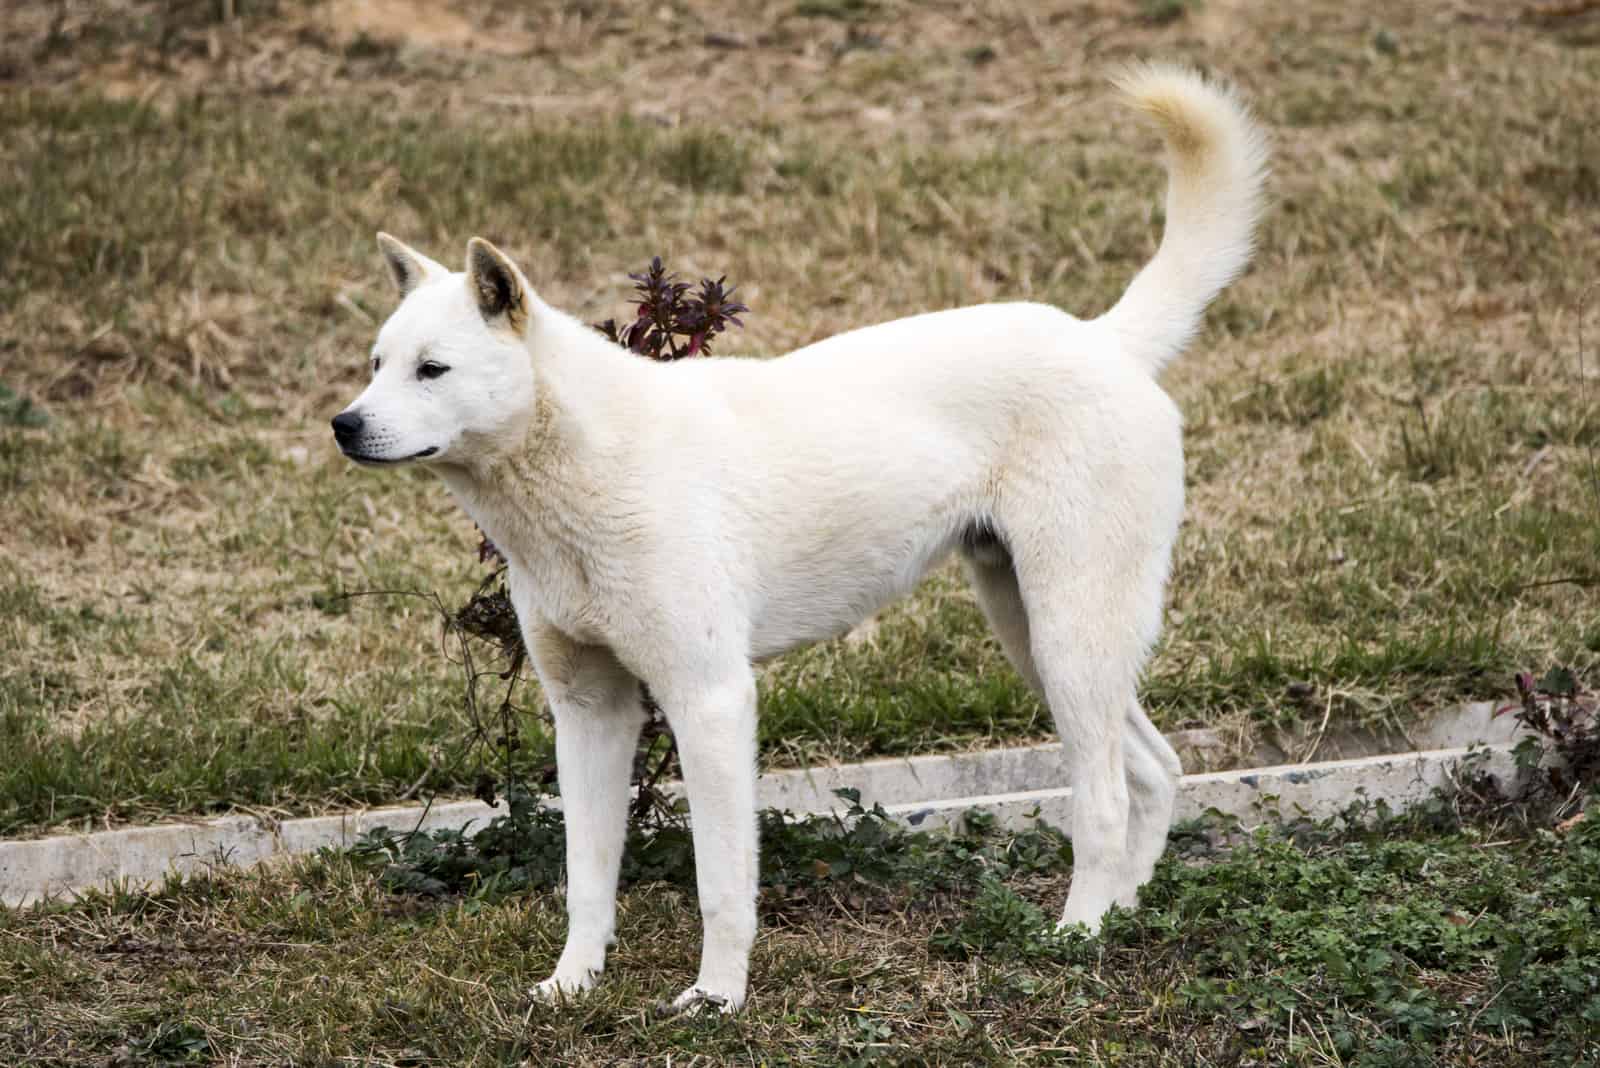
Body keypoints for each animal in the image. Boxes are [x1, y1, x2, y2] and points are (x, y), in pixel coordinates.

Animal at [331, 62, 1267, 1016]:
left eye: (433, 370)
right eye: (375, 365)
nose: (344, 426)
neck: (588, 464)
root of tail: (1105, 341)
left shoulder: (710, 702)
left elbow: (719, 883)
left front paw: (715, 1000)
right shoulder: (590, 712)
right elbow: (586, 878)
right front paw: (572, 985)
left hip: (1069, 637)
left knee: (1108, 797)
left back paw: (1077, 937)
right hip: (1038, 636)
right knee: (1155, 769)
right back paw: (1121, 919)